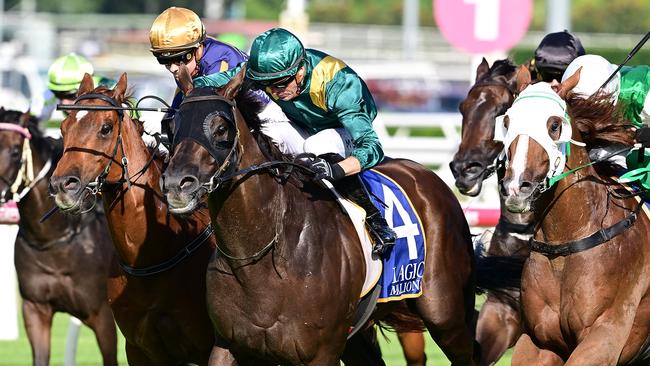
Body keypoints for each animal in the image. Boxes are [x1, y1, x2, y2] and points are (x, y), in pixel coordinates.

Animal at [159, 65, 520, 364]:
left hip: (446, 315)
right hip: (357, 335)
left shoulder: (321, 351)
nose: (177, 183)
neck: (263, 255)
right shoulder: (229, 345)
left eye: (221, 128)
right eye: (171, 125)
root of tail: (430, 178)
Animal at [496, 69, 648, 366]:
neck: (567, 242)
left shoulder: (605, 335)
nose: (516, 188)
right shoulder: (540, 341)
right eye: (507, 121)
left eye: (554, 125)